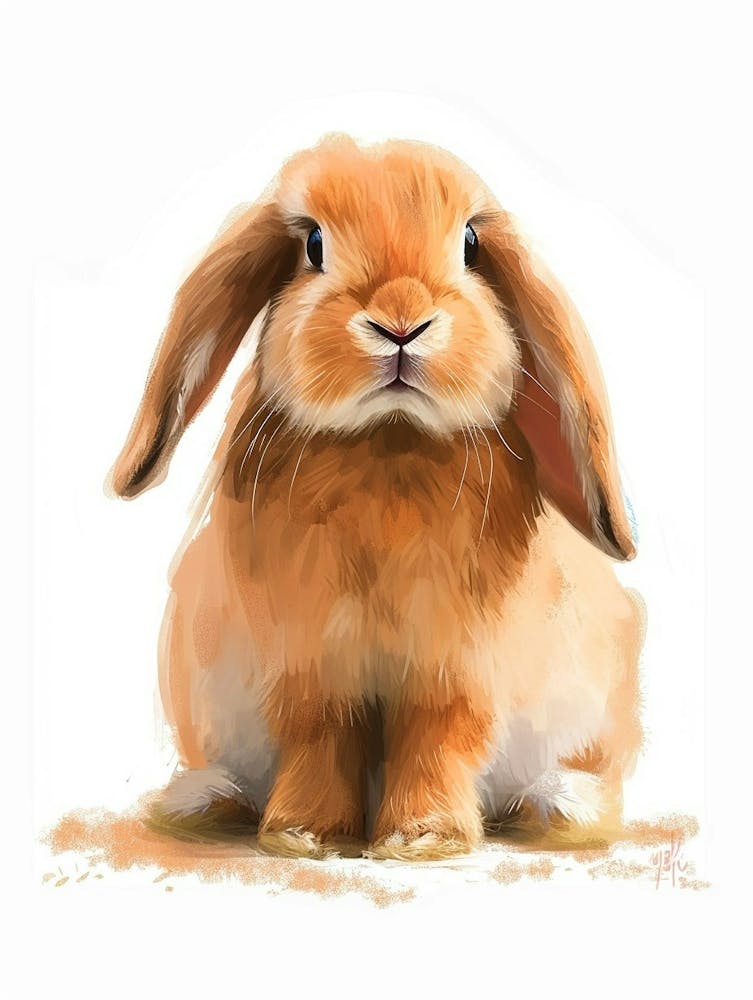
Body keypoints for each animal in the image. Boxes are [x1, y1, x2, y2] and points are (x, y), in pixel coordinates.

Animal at [109, 134, 644, 861]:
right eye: (312, 245)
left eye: (470, 244)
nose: (400, 323)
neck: (388, 441)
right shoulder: (309, 667)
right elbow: (319, 738)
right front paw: (303, 833)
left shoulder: (454, 672)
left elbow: (437, 739)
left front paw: (422, 837)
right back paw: (205, 802)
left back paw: (561, 806)